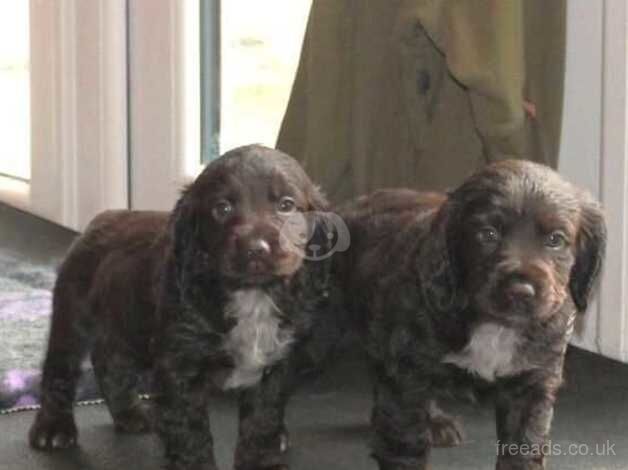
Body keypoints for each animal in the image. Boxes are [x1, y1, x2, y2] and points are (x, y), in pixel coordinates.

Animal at [28, 144, 338, 470]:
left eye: (286, 205)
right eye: (222, 208)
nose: (256, 249)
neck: (251, 295)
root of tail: (103, 217)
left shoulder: (274, 367)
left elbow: (262, 421)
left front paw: (263, 462)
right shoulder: (179, 365)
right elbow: (189, 430)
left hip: (126, 325)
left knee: (110, 362)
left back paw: (130, 414)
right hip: (73, 317)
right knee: (60, 369)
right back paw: (53, 428)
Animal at [336, 162, 604, 470]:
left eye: (555, 239)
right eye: (488, 234)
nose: (521, 291)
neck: (494, 326)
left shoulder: (531, 382)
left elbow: (524, 444)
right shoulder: (405, 374)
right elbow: (405, 442)